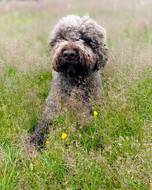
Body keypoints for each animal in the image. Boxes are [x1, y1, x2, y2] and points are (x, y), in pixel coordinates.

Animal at [30, 15, 108, 148]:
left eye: (86, 39)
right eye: (61, 37)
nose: (69, 54)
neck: (74, 82)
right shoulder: (51, 111)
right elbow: (42, 128)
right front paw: (33, 145)